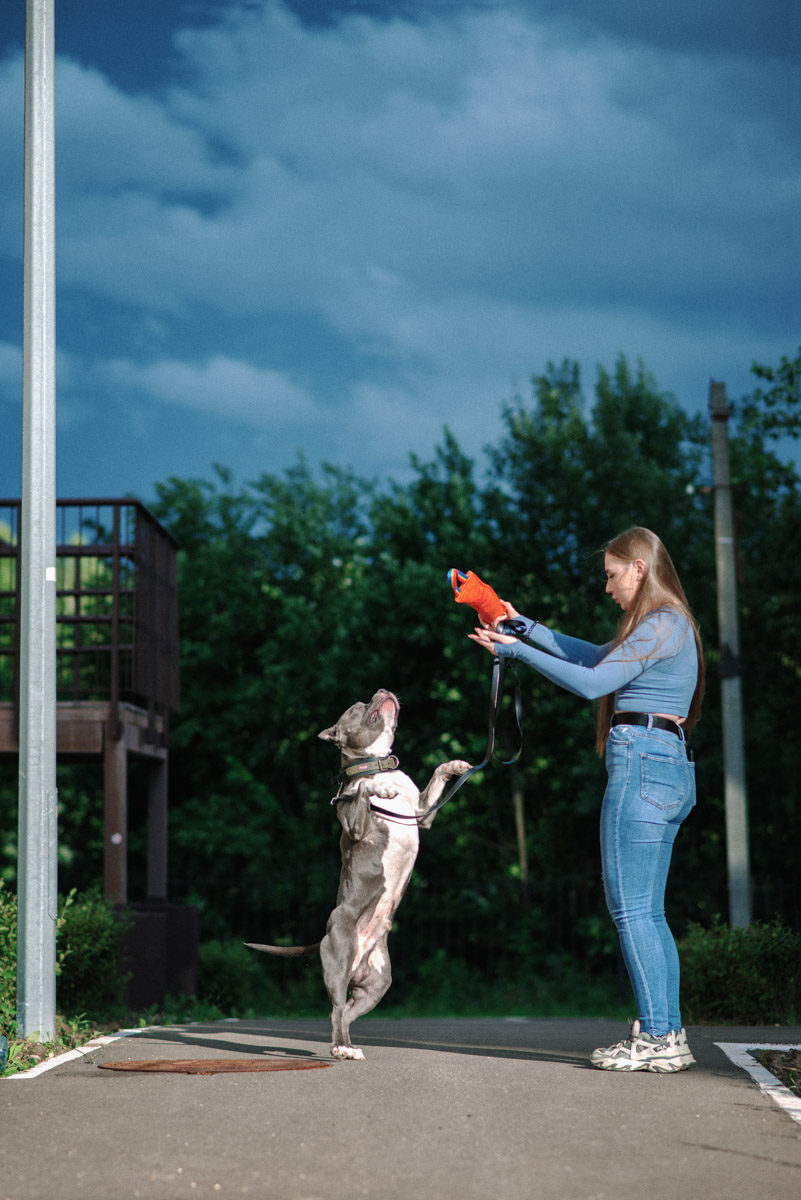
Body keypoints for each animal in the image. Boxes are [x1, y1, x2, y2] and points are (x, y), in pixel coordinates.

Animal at [244, 691, 470, 1065]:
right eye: (356, 707)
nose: (382, 691)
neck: (375, 764)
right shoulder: (355, 825)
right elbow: (363, 792)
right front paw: (376, 790)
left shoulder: (422, 814)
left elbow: (436, 777)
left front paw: (454, 765)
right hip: (339, 960)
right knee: (336, 1008)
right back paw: (339, 1047)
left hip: (376, 984)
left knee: (345, 1012)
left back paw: (348, 1046)